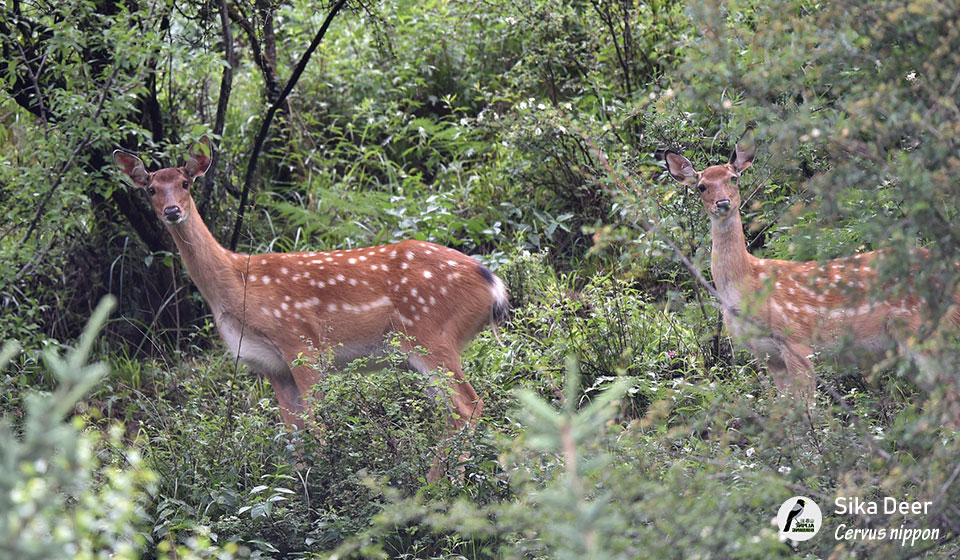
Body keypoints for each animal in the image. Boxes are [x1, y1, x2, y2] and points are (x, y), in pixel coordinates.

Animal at [115, 137, 506, 476]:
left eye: (185, 183)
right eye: (151, 188)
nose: (171, 210)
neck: (238, 285)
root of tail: (494, 286)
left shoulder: (301, 342)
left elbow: (317, 429)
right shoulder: (271, 366)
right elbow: (294, 437)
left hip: (430, 333)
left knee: (468, 405)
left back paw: (439, 487)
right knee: (452, 412)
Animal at [664, 138, 956, 400]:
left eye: (733, 178)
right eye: (701, 186)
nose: (723, 203)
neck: (747, 285)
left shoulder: (798, 341)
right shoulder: (768, 355)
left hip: (924, 331)